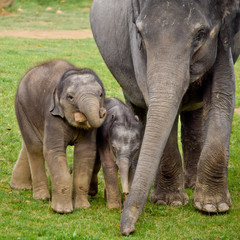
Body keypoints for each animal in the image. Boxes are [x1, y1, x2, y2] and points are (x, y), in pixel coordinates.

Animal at [10, 60, 106, 214]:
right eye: (70, 97)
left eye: (101, 94)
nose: (102, 112)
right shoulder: (52, 116)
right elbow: (53, 150)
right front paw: (62, 210)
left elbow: (85, 152)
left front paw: (83, 207)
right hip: (21, 107)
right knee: (36, 148)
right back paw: (41, 197)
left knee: (30, 145)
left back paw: (20, 187)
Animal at [90, 0, 240, 236]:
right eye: (140, 34)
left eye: (200, 34)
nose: (126, 230)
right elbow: (150, 96)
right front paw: (169, 202)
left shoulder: (225, 36)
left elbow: (222, 93)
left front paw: (212, 206)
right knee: (137, 107)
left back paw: (191, 184)